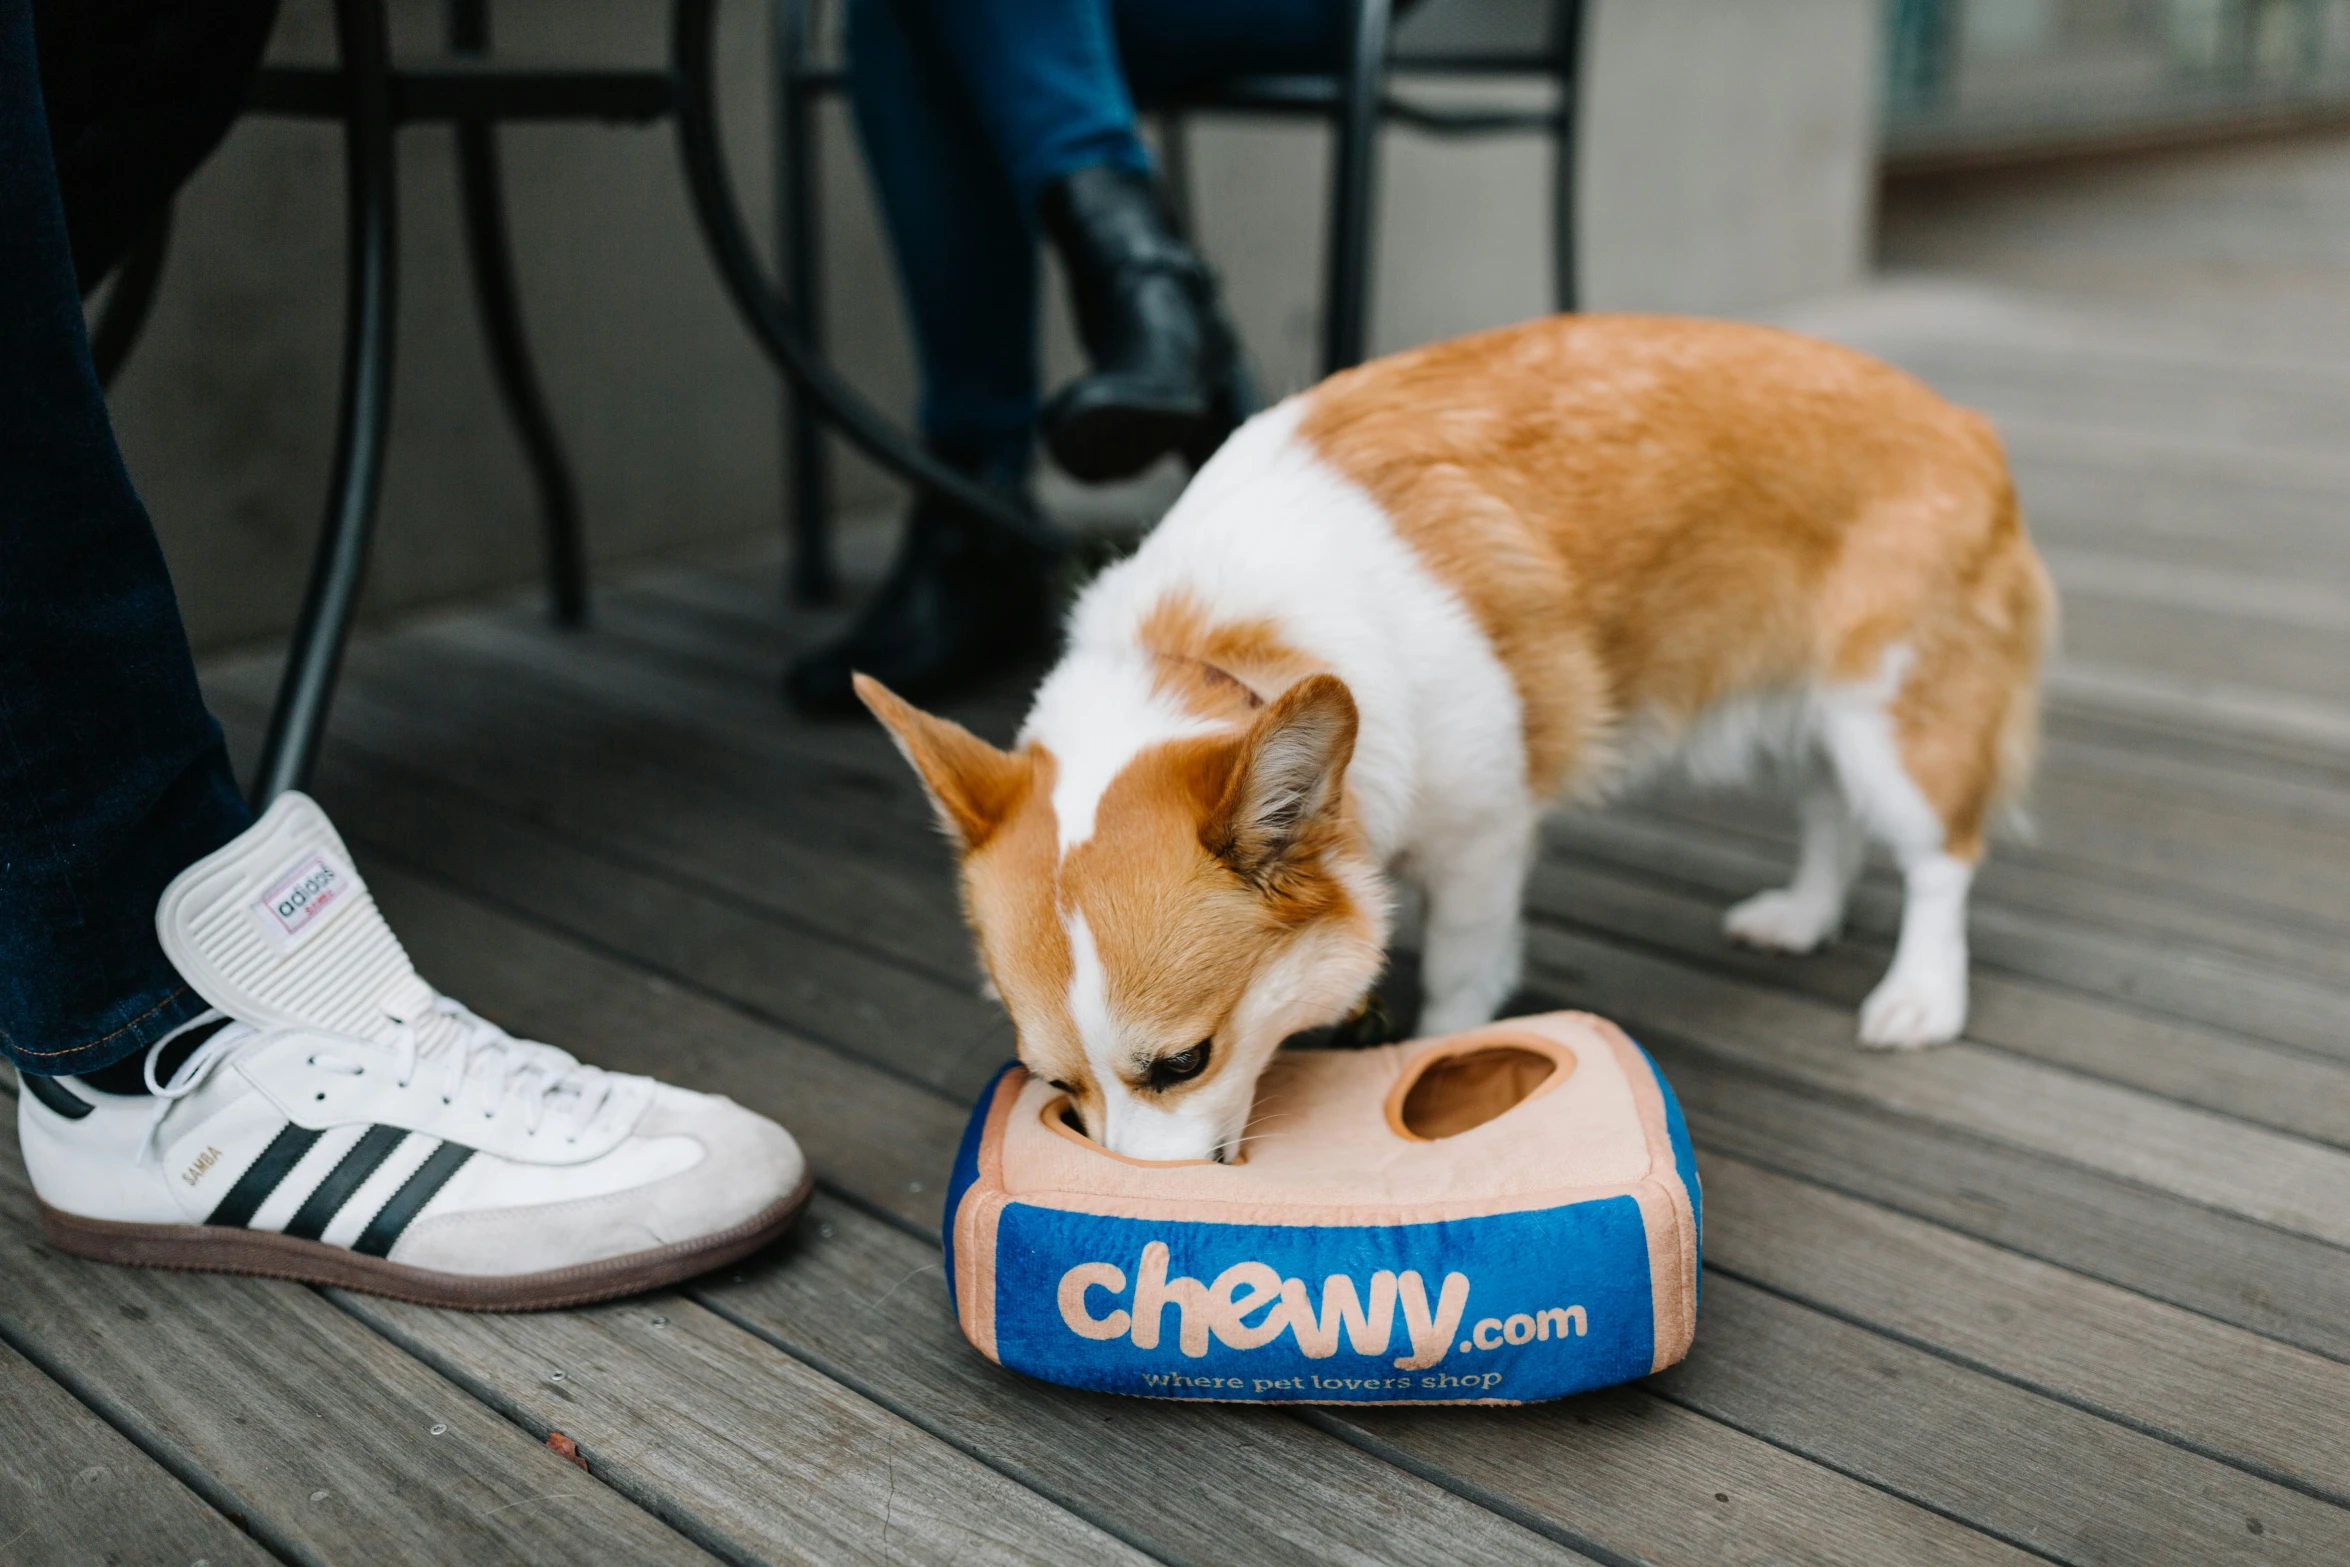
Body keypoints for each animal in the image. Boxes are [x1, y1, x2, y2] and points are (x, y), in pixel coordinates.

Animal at [864, 314, 2058, 1165]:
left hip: (1888, 718)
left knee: (1937, 854)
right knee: (1825, 810)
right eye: (1051, 1080)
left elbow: (1461, 981)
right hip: (1802, 713)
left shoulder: (1486, 836)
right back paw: (1803, 916)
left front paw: (1438, 1063)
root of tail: (1967, 422)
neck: (1218, 649)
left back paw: (1920, 995)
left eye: (1183, 1061)